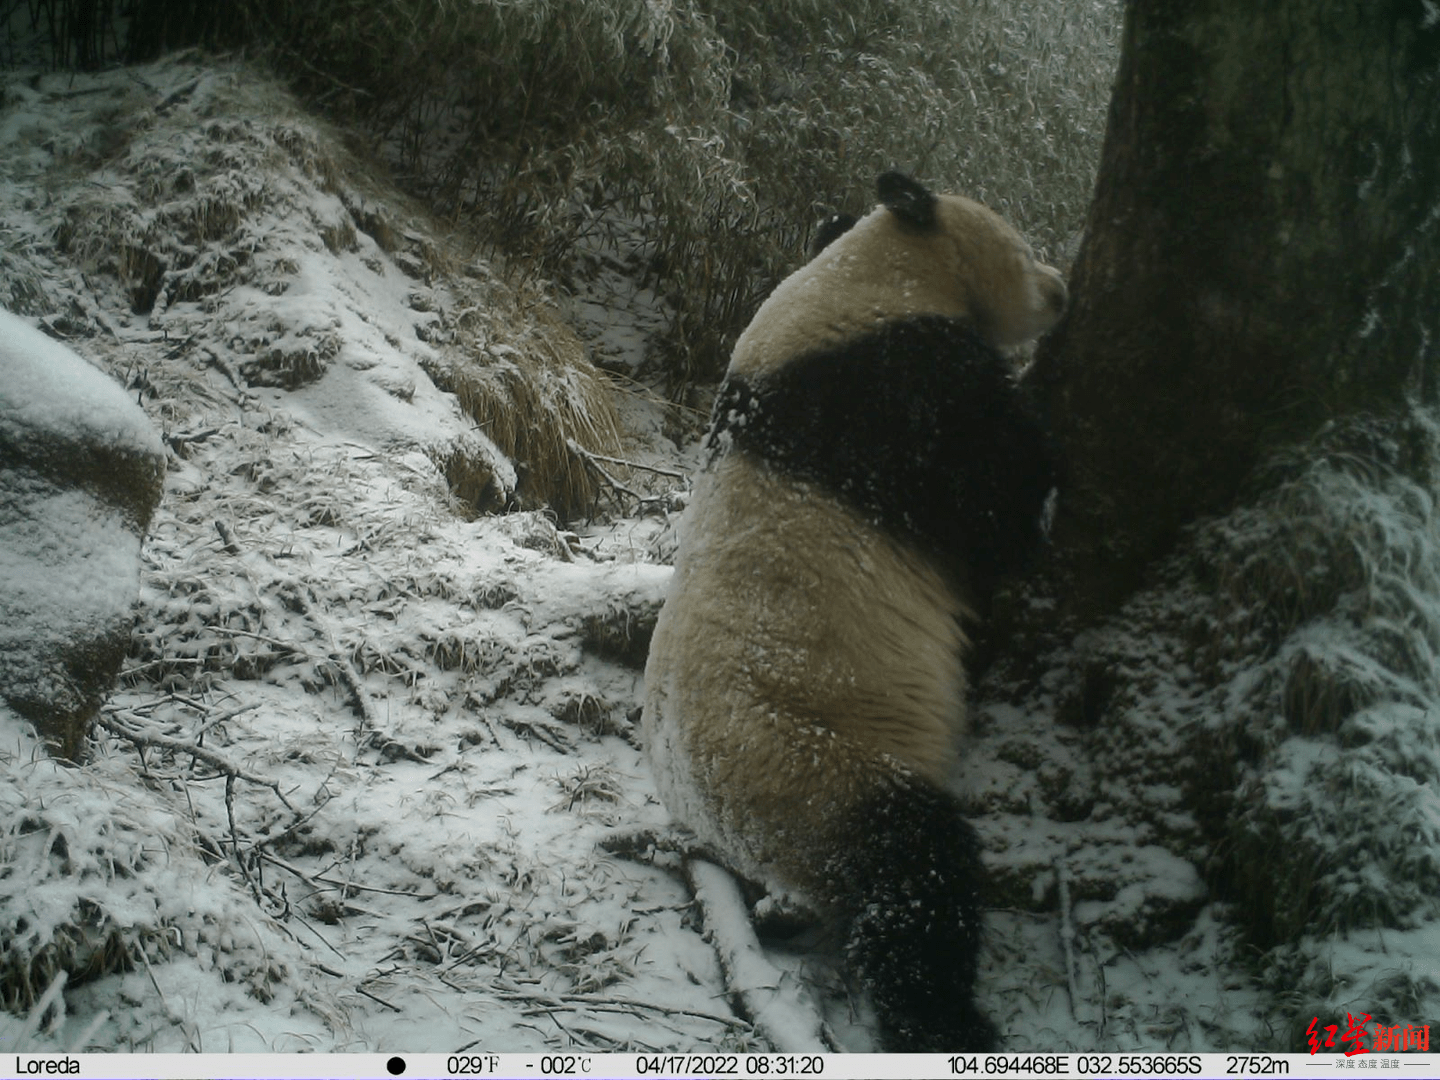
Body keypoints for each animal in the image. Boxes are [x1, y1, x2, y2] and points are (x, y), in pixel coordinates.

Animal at [642, 173, 1071, 1054]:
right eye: (1022, 248)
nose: (1060, 291)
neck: (862, 273)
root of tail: (705, 813)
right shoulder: (891, 394)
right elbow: (993, 502)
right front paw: (1044, 480)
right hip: (810, 768)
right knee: (910, 873)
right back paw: (945, 1020)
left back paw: (784, 918)